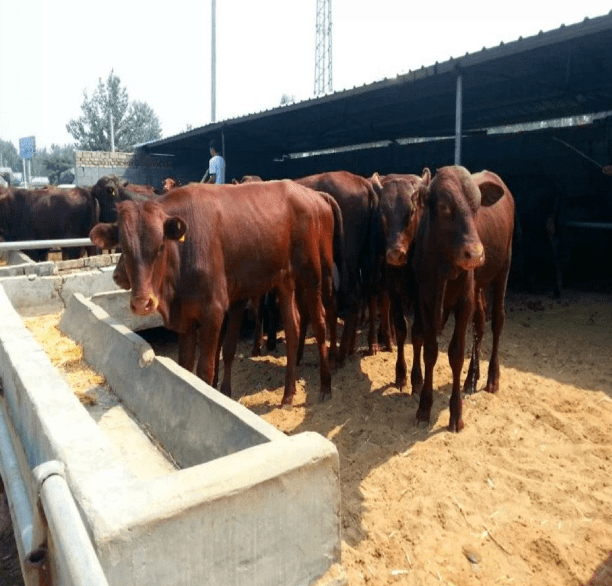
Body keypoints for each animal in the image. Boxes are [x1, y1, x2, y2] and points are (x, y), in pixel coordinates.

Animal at [92, 180, 334, 404]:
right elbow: (186, 366)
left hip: (312, 275)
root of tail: (312, 195)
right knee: (293, 328)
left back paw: (325, 386)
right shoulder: (187, 318)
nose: (142, 303)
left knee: (320, 322)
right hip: (285, 281)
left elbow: (206, 370)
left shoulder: (214, 312)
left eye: (160, 246)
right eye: (123, 247)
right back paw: (288, 394)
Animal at [408, 167, 512, 432]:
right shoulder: (425, 301)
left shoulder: (464, 302)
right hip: (478, 287)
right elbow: (430, 350)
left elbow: (456, 353)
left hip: (503, 270)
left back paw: (492, 377)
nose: (475, 254)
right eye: (444, 206)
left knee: (497, 321)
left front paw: (456, 413)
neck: (443, 267)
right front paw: (424, 407)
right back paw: (472, 378)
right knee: (480, 324)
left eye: (477, 205)